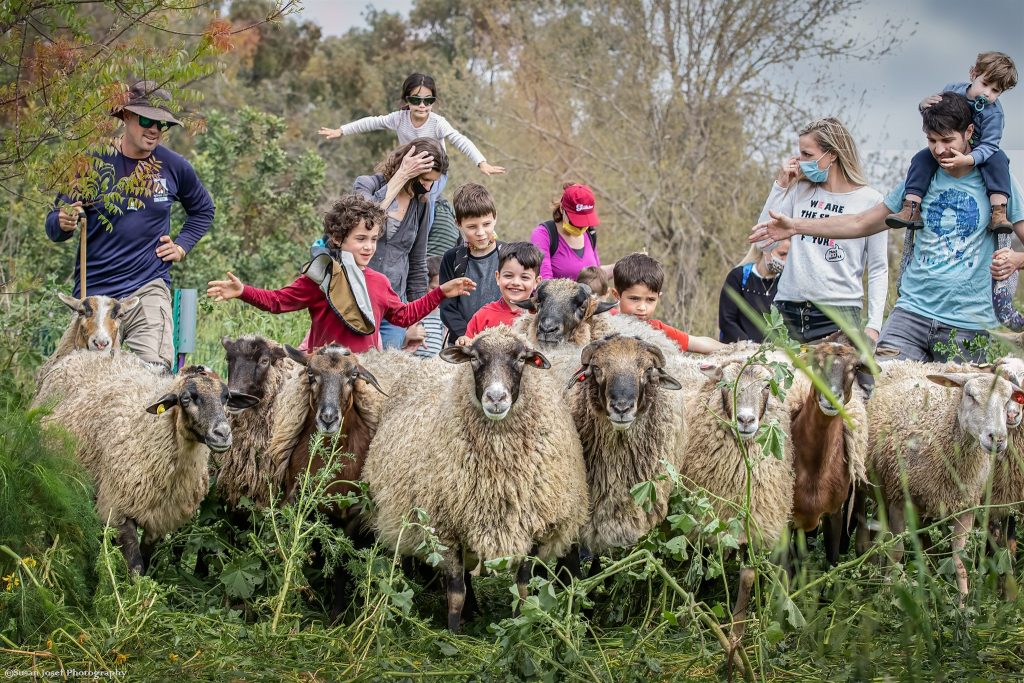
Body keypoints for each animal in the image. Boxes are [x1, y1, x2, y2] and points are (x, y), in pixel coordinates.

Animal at [39, 352, 256, 573]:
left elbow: (147, 559)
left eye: (226, 398)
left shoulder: (159, 519)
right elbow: (136, 567)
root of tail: (84, 353)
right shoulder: (117, 509)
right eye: (186, 399)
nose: (223, 434)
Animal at [362, 327, 589, 634]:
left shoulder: (533, 529)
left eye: (521, 358)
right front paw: (453, 634)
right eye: (474, 358)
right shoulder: (445, 529)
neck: (499, 479)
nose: (496, 398)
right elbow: (456, 591)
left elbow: (522, 588)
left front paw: (518, 628)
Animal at [864, 370, 1024, 602]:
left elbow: (959, 560)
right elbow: (896, 552)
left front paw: (963, 604)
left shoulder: (966, 505)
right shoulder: (899, 499)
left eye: (1007, 401)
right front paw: (886, 596)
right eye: (970, 395)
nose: (998, 439)